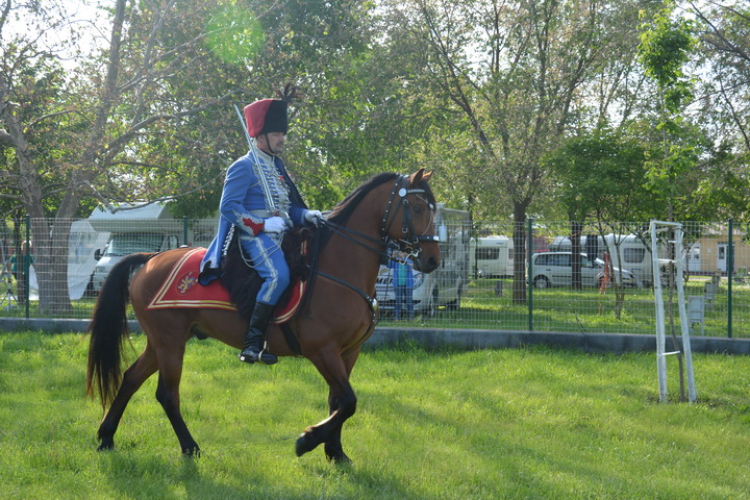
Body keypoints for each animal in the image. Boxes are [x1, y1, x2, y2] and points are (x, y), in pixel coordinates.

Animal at [86, 169, 440, 464]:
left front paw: (335, 453)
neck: (336, 269)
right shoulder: (322, 351)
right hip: (170, 342)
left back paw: (106, 437)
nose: (433, 260)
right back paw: (190, 447)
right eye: (418, 208)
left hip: (161, 342)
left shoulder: (348, 352)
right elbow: (349, 401)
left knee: (131, 378)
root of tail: (149, 259)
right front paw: (307, 440)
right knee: (167, 394)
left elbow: (338, 401)